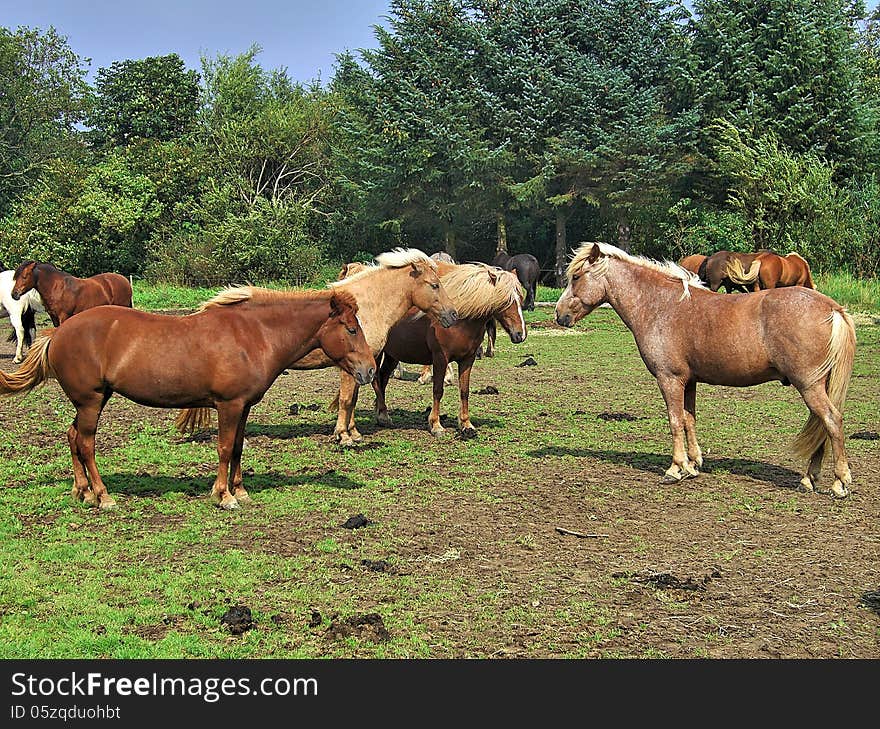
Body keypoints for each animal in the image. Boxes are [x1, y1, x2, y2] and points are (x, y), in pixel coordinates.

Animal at [0, 288, 374, 510]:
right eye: (351, 329)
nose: (369, 370)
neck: (254, 335)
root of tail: (58, 332)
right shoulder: (228, 405)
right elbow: (224, 448)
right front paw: (223, 496)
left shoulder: (243, 407)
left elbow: (237, 449)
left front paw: (239, 490)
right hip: (91, 401)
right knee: (86, 443)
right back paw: (103, 496)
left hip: (91, 401)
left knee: (72, 436)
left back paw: (82, 490)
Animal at [174, 247, 458, 446]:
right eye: (435, 285)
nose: (453, 314)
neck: (367, 305)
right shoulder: (350, 366)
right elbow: (346, 399)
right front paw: (343, 436)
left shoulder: (359, 366)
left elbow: (353, 398)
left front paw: (353, 432)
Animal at [372, 266, 524, 438]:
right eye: (505, 301)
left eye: (521, 298)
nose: (520, 334)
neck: (460, 322)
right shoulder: (440, 358)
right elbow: (438, 390)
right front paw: (435, 425)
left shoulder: (467, 360)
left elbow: (464, 391)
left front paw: (466, 424)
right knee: (376, 380)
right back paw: (383, 416)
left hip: (392, 355)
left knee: (383, 378)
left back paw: (381, 412)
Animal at [556, 242, 852, 498]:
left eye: (577, 277)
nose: (560, 315)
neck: (661, 306)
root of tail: (831, 308)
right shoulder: (689, 382)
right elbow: (689, 420)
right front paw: (693, 464)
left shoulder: (669, 380)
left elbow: (675, 421)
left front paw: (675, 469)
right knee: (821, 426)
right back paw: (809, 479)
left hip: (809, 385)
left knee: (831, 421)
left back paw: (839, 482)